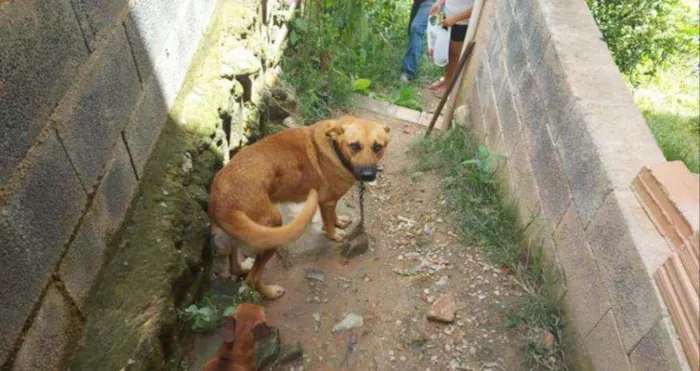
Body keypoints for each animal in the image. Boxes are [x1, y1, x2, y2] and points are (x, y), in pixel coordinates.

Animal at [208, 115, 394, 300]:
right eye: (354, 146)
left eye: (378, 147)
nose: (367, 176)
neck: (334, 147)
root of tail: (221, 203)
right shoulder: (327, 201)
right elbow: (328, 222)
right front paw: (334, 235)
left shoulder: (328, 201)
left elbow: (332, 216)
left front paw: (339, 222)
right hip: (272, 231)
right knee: (253, 279)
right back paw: (272, 293)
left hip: (236, 237)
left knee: (234, 265)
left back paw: (242, 269)